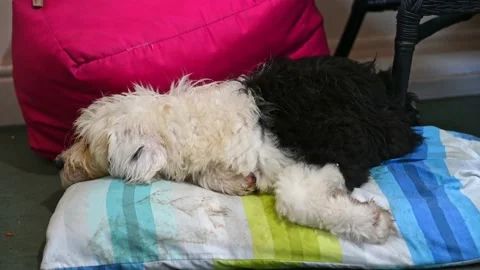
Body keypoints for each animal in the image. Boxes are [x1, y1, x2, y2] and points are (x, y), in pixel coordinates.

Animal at [57, 55, 424, 245]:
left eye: (86, 142)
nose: (61, 162)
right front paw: (240, 182)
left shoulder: (338, 147)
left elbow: (294, 197)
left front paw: (372, 222)